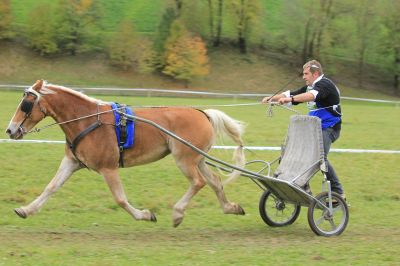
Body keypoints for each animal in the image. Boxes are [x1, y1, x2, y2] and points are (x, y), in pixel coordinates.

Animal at [4, 79, 245, 227]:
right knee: (214, 181)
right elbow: (52, 187)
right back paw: (230, 207)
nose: (10, 130)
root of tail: (202, 113)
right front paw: (26, 210)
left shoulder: (108, 168)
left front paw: (145, 215)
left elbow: (120, 199)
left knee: (198, 182)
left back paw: (178, 213)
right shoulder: (71, 162)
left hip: (185, 160)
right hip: (198, 159)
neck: (87, 119)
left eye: (26, 104)